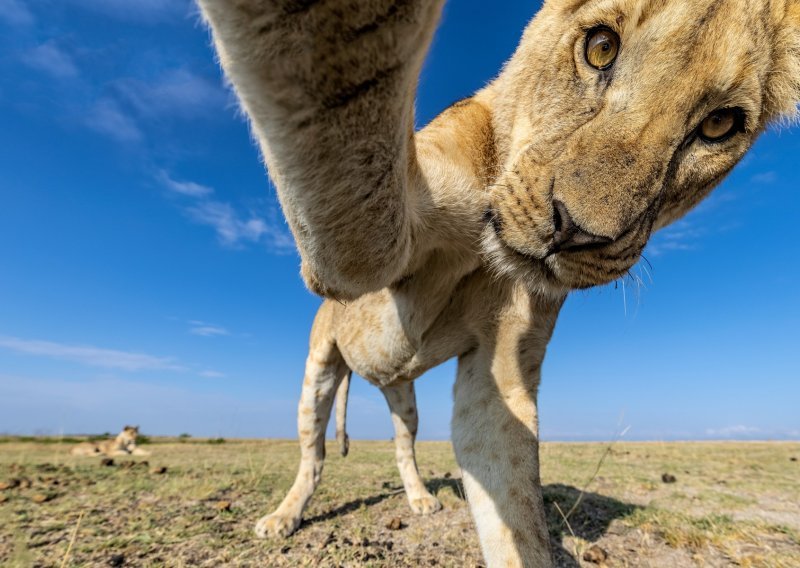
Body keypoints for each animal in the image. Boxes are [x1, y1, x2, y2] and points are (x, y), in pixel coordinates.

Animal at [198, 2, 800, 564]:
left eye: (719, 125)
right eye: (601, 47)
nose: (574, 231)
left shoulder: (499, 379)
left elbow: (517, 515)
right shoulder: (350, 255)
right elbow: (351, 147)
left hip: (403, 396)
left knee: (402, 443)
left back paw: (420, 499)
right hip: (320, 369)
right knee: (314, 452)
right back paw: (284, 515)